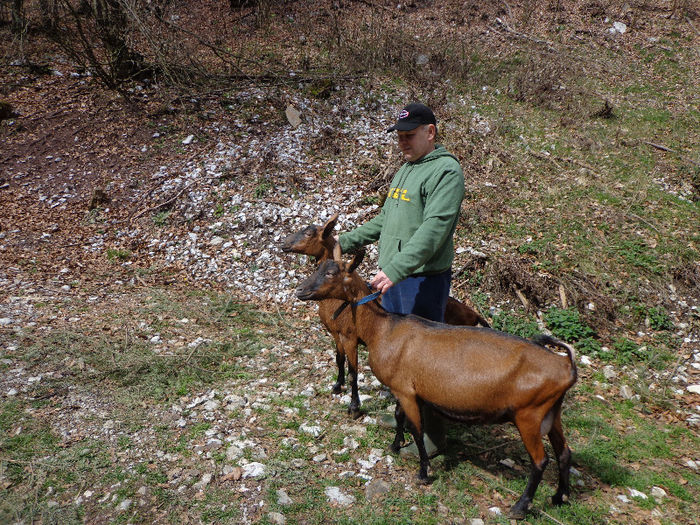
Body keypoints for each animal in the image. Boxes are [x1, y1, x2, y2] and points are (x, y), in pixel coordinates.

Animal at [282, 213, 490, 418]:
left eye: (308, 233)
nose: (283, 244)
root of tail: (474, 314)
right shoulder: (336, 333)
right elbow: (338, 359)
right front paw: (337, 386)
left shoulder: (349, 337)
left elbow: (353, 371)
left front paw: (354, 407)